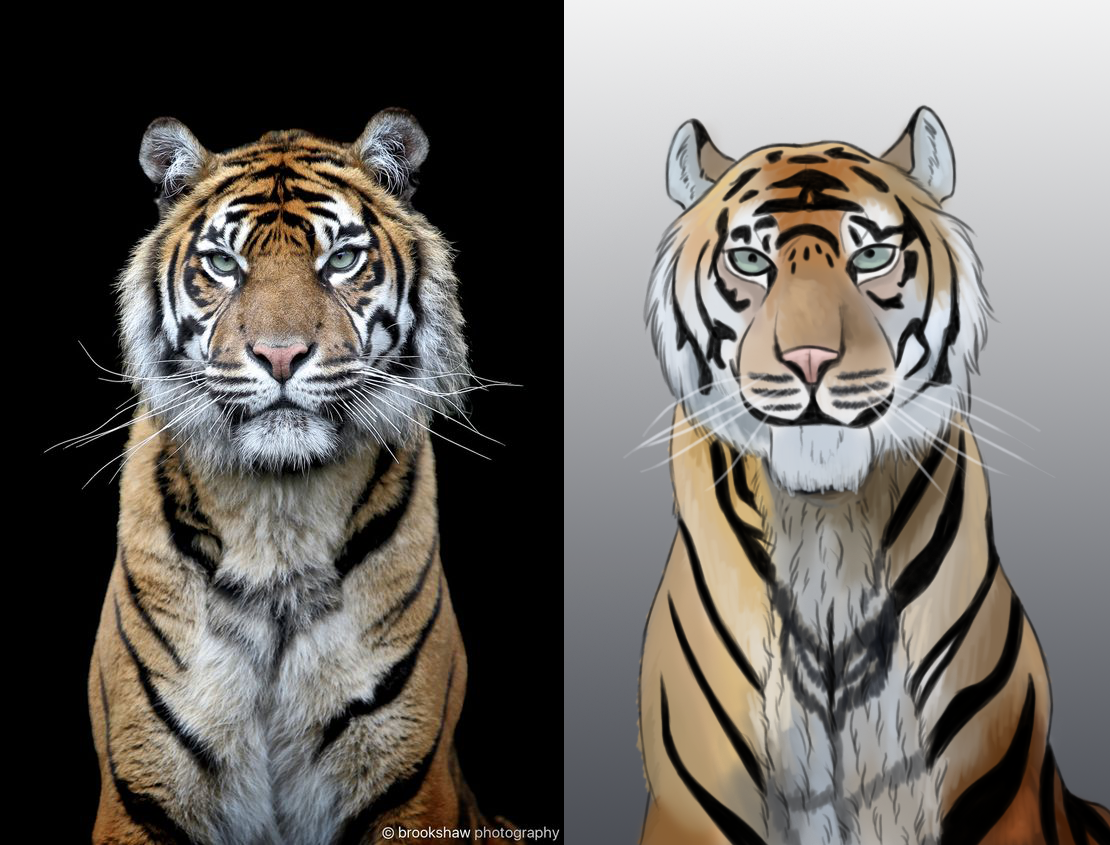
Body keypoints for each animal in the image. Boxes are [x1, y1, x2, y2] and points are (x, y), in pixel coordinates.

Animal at [87, 110, 519, 844]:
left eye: (341, 259)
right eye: (224, 264)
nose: (281, 354)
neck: (277, 514)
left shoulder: (406, 785)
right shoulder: (141, 786)